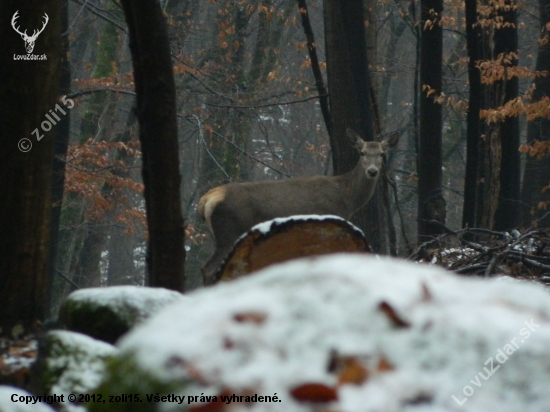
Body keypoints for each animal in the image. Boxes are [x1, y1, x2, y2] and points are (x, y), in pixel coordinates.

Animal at [198, 129, 402, 284]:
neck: (347, 199)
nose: (372, 171)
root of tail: (206, 200)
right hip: (229, 230)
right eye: (362, 153)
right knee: (208, 268)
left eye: (382, 154)